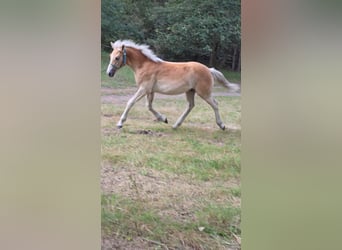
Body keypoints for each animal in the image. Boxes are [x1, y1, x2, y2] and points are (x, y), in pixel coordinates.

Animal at [105, 40, 239, 130]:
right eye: (110, 56)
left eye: (117, 58)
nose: (109, 73)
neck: (144, 65)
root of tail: (209, 70)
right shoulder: (150, 91)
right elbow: (149, 106)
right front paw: (163, 119)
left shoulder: (143, 89)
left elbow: (130, 102)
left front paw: (120, 123)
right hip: (190, 91)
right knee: (191, 106)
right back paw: (175, 125)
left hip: (204, 92)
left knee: (215, 104)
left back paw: (222, 125)